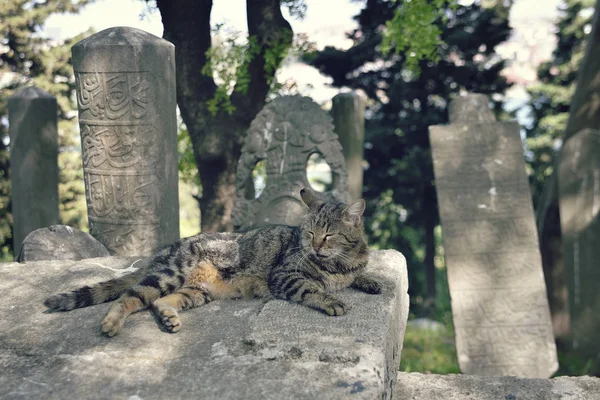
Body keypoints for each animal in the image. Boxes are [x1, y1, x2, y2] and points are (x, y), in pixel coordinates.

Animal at [44, 189, 382, 336]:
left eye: (329, 235)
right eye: (310, 232)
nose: (313, 245)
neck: (339, 261)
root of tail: (160, 253)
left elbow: (359, 274)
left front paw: (371, 280)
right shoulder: (286, 275)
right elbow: (314, 288)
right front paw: (332, 300)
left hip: (197, 291)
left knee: (161, 302)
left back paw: (168, 318)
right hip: (169, 275)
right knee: (129, 297)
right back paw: (112, 323)